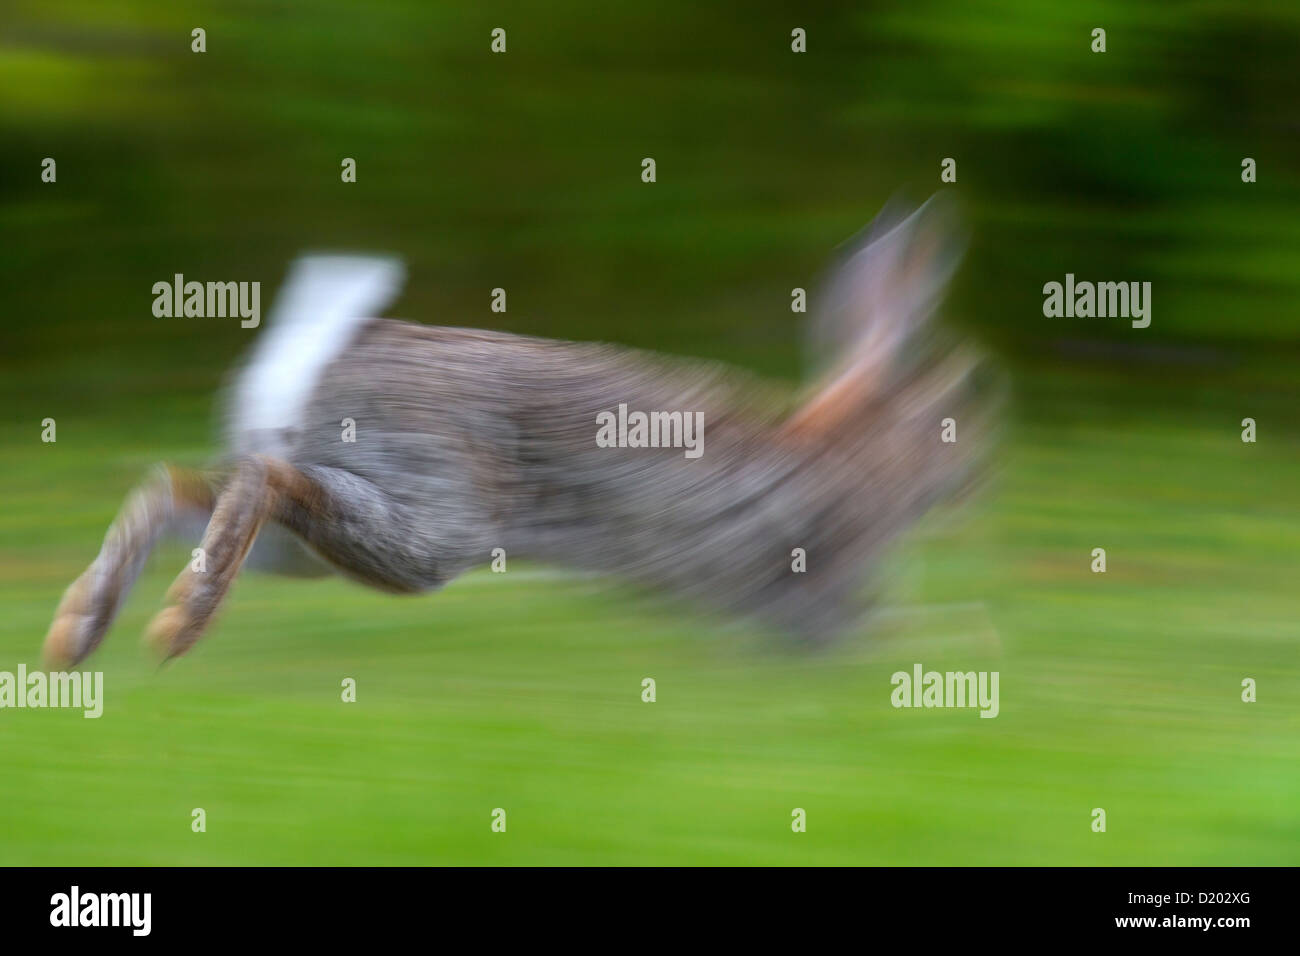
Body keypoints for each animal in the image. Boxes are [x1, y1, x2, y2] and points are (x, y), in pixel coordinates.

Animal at [42, 194, 992, 668]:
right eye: (955, 416)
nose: (981, 483)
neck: (853, 451)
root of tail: (320, 356)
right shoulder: (822, 579)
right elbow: (873, 637)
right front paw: (966, 655)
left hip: (309, 546)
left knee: (180, 491)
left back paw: (80, 634)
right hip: (435, 527)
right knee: (260, 485)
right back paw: (174, 632)